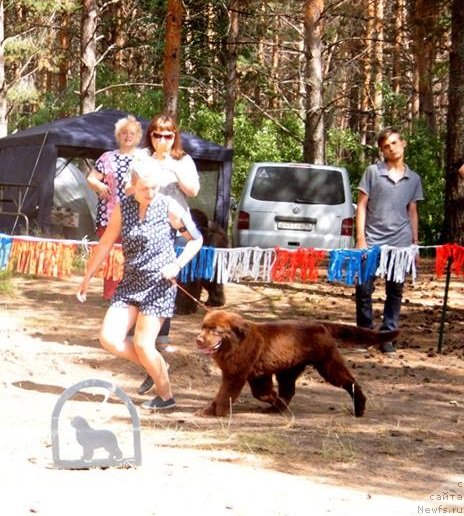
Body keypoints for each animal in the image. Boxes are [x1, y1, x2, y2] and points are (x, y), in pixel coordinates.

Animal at [196, 308, 398, 418]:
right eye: (203, 327)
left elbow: (225, 394)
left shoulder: (236, 375)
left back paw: (360, 407)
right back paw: (278, 408)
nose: (198, 340)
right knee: (289, 390)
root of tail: (320, 325)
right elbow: (261, 393)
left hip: (328, 365)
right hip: (288, 370)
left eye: (215, 330)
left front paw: (218, 413)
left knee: (351, 383)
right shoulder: (256, 375)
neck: (236, 343)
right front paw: (209, 410)